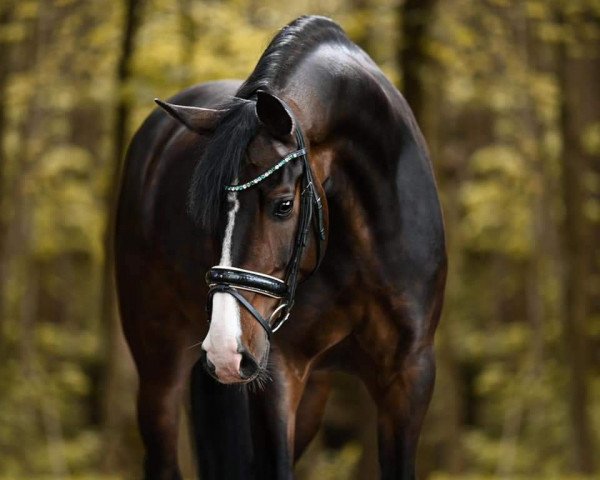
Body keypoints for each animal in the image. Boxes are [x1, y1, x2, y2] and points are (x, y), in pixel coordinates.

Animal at [116, 15, 446, 480]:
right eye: (209, 210)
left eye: (284, 205)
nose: (224, 350)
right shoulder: (279, 373)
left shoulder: (409, 377)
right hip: (158, 363)